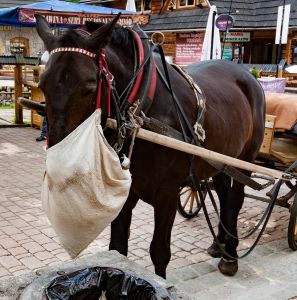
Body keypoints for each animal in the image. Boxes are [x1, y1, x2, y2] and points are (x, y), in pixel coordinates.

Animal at [33, 13, 264, 276]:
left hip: (245, 159)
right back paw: (220, 245)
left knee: (235, 199)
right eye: (42, 85)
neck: (141, 108)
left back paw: (231, 255)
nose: (59, 163)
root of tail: (247, 75)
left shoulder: (167, 194)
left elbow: (159, 251)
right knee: (224, 193)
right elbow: (117, 247)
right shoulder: (127, 193)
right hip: (221, 160)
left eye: (89, 88)